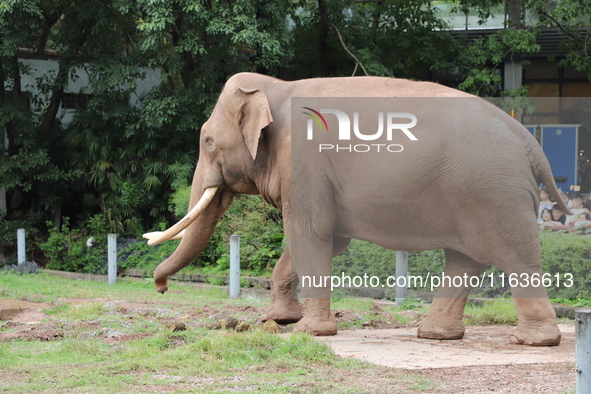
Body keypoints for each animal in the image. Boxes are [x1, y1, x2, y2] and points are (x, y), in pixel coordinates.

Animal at [146, 72, 572, 346]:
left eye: (207, 141)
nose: (161, 287)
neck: (276, 87)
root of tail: (529, 141)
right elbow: (323, 240)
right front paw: (278, 320)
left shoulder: (304, 165)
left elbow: (310, 232)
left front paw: (308, 332)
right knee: (465, 260)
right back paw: (435, 335)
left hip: (494, 195)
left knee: (515, 258)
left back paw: (532, 340)